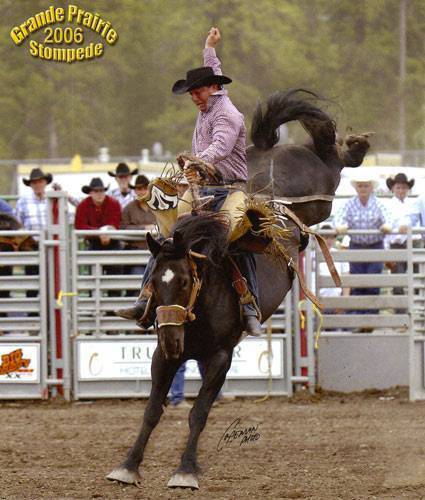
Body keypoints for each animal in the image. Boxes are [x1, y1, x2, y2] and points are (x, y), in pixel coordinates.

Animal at [106, 88, 368, 490]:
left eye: (185, 281)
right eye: (153, 281)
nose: (172, 339)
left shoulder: (220, 358)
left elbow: (198, 413)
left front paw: (185, 471)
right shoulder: (162, 356)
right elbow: (152, 410)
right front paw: (128, 466)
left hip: (320, 190)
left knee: (331, 154)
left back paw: (355, 146)